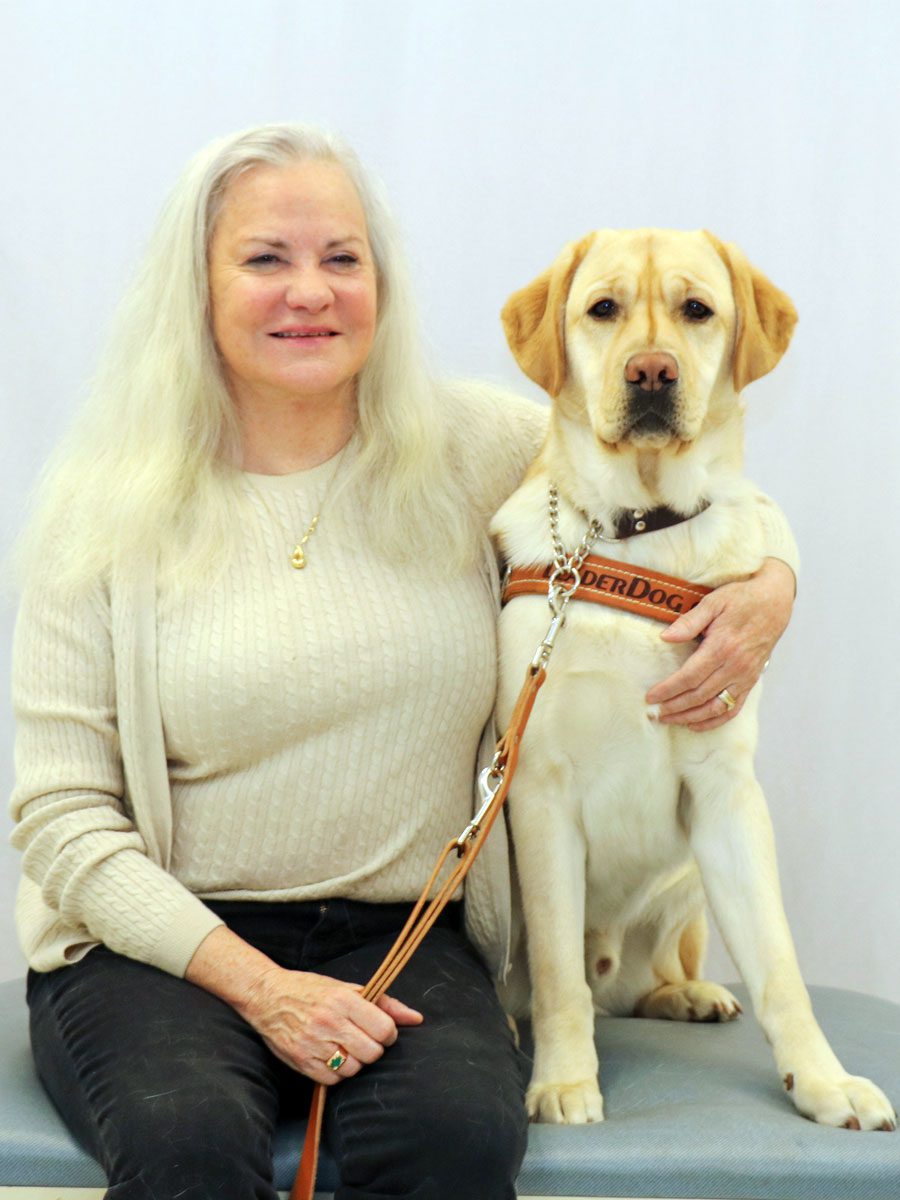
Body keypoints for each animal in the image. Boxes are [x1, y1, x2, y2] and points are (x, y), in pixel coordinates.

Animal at [489, 229, 897, 1128]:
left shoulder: (726, 795)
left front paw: (823, 1080)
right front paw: (564, 1080)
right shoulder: (539, 792)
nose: (652, 372)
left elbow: (781, 968)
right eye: (603, 308)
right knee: (575, 985)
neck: (638, 532)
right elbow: (560, 977)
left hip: (688, 885)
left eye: (697, 310)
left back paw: (688, 994)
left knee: (649, 980)